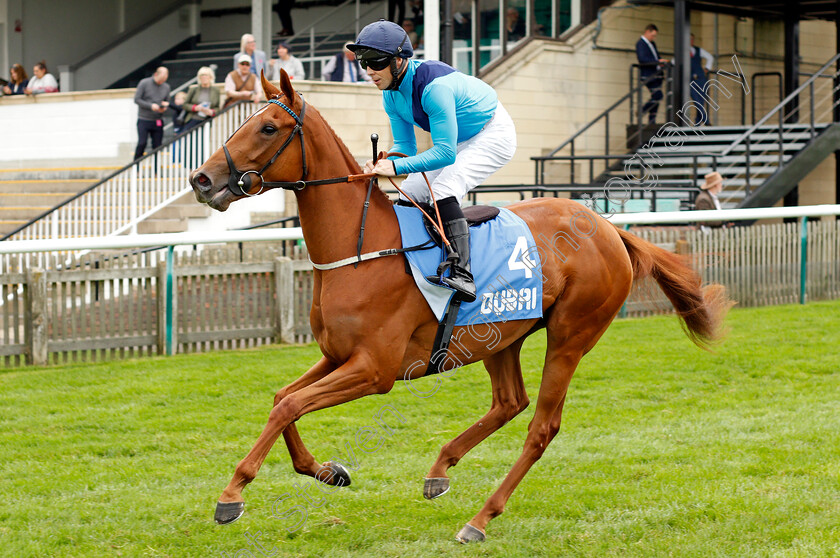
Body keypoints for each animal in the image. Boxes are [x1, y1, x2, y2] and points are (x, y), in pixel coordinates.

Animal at [189, 72, 728, 544]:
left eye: (267, 127)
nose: (200, 180)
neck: (362, 249)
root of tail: (609, 228)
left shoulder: (374, 370)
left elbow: (290, 406)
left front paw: (232, 495)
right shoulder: (337, 355)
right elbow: (283, 398)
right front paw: (326, 470)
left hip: (571, 336)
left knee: (541, 427)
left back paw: (480, 519)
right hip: (503, 334)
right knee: (510, 402)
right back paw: (440, 469)